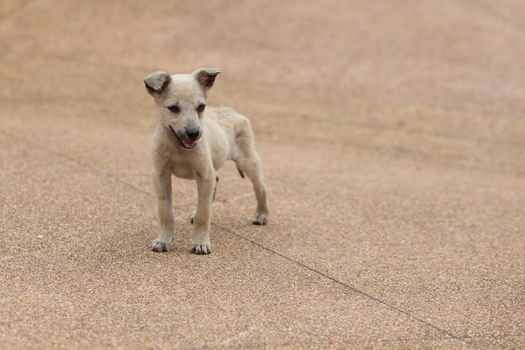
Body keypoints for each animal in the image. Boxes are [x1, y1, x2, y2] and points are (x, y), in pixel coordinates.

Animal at [143, 67, 268, 254]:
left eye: (201, 107)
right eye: (173, 108)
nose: (194, 133)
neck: (177, 146)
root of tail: (231, 110)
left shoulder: (204, 174)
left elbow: (204, 212)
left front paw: (200, 243)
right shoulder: (160, 174)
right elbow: (165, 211)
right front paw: (163, 240)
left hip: (248, 161)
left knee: (261, 186)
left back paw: (262, 214)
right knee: (217, 181)